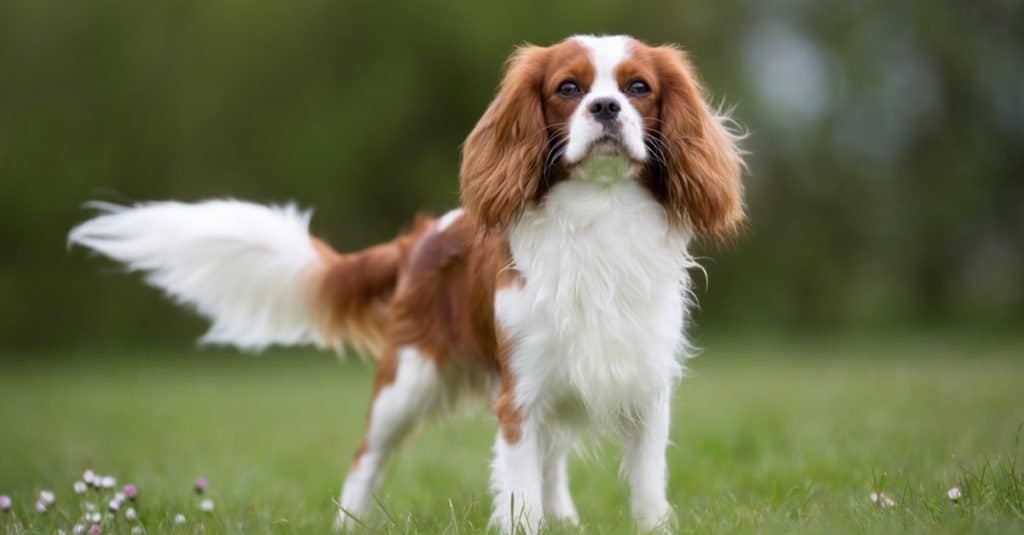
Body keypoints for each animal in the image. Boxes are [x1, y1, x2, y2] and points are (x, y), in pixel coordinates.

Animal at [72, 35, 745, 528]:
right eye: (568, 89)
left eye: (639, 88)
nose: (606, 108)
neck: (599, 217)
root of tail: (419, 238)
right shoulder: (519, 394)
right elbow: (519, 492)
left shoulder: (643, 388)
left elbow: (646, 494)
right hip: (408, 381)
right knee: (365, 458)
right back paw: (348, 523)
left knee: (552, 463)